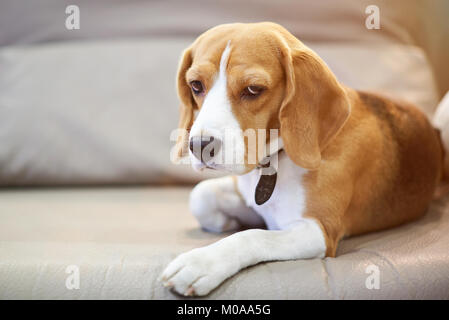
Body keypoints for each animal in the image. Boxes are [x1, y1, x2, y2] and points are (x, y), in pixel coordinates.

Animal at [159, 22, 446, 296]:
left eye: (253, 89)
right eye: (196, 85)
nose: (199, 146)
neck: (276, 160)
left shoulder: (318, 230)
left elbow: (253, 237)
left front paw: (202, 262)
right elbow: (200, 195)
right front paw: (226, 221)